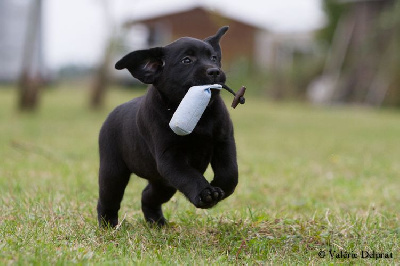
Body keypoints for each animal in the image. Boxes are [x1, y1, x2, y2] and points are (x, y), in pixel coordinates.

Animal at [97, 26, 239, 227]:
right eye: (186, 60)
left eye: (213, 58)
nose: (215, 71)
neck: (201, 115)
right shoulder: (170, 158)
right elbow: (190, 175)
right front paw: (206, 193)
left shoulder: (224, 141)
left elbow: (230, 172)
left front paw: (220, 187)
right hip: (113, 172)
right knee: (108, 198)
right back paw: (108, 224)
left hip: (164, 184)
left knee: (147, 196)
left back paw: (157, 223)